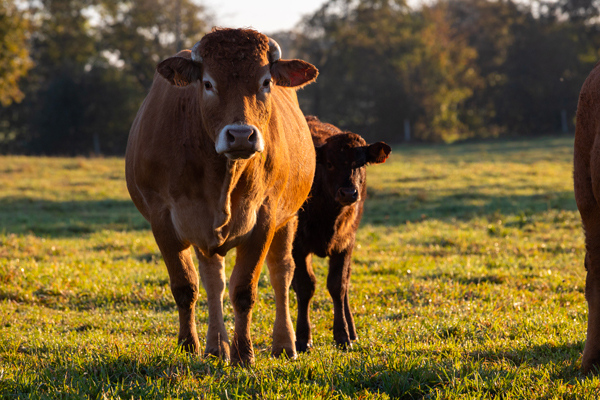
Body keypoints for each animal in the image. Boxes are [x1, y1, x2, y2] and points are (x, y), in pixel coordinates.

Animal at [125, 28, 318, 364]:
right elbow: (186, 286)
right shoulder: (162, 219)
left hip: (288, 218)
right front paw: (189, 345)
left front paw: (245, 354)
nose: (241, 135)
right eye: (208, 83)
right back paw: (216, 346)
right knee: (213, 279)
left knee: (281, 272)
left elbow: (244, 289)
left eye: (265, 82)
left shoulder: (265, 217)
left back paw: (284, 343)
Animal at [290, 115, 390, 350]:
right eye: (329, 163)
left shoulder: (346, 243)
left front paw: (343, 335)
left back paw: (352, 330)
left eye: (361, 163)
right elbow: (305, 286)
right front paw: (303, 338)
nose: (348, 193)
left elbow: (338, 285)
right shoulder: (298, 245)